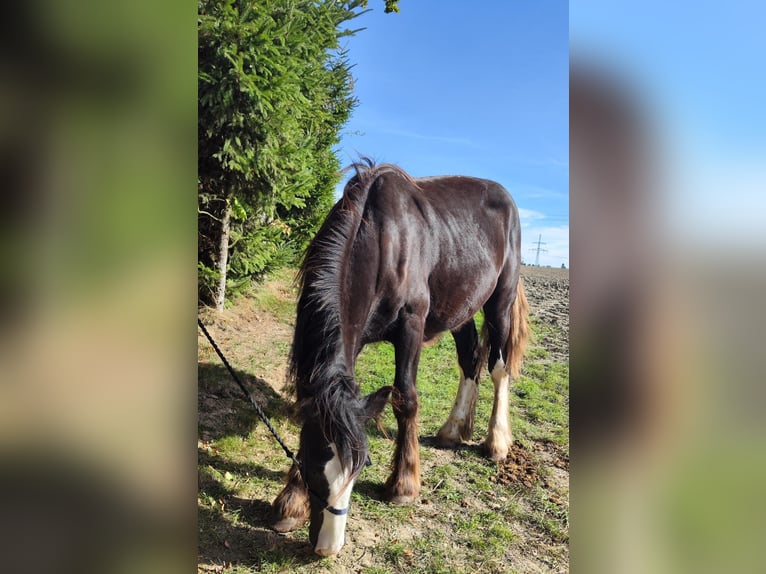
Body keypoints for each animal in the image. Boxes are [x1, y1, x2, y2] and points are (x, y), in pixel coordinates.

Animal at [270, 159, 530, 556]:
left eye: (361, 470)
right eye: (313, 466)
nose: (329, 546)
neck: (381, 239)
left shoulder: (411, 324)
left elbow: (405, 398)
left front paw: (404, 485)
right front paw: (290, 503)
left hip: (501, 298)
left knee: (498, 368)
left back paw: (497, 442)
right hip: (462, 308)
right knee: (470, 360)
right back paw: (453, 430)